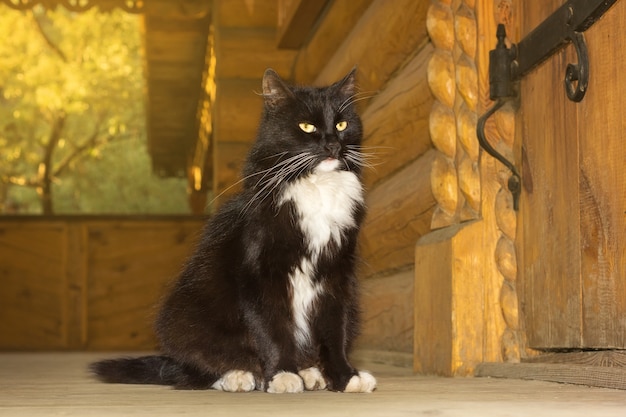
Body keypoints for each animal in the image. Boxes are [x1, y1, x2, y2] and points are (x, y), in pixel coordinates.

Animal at [91, 68, 376, 394]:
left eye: (342, 124)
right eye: (306, 126)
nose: (332, 145)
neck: (316, 187)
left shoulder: (337, 275)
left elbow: (334, 332)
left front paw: (345, 377)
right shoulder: (260, 273)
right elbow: (273, 329)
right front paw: (282, 374)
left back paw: (309, 372)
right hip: (184, 318)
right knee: (194, 368)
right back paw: (239, 376)